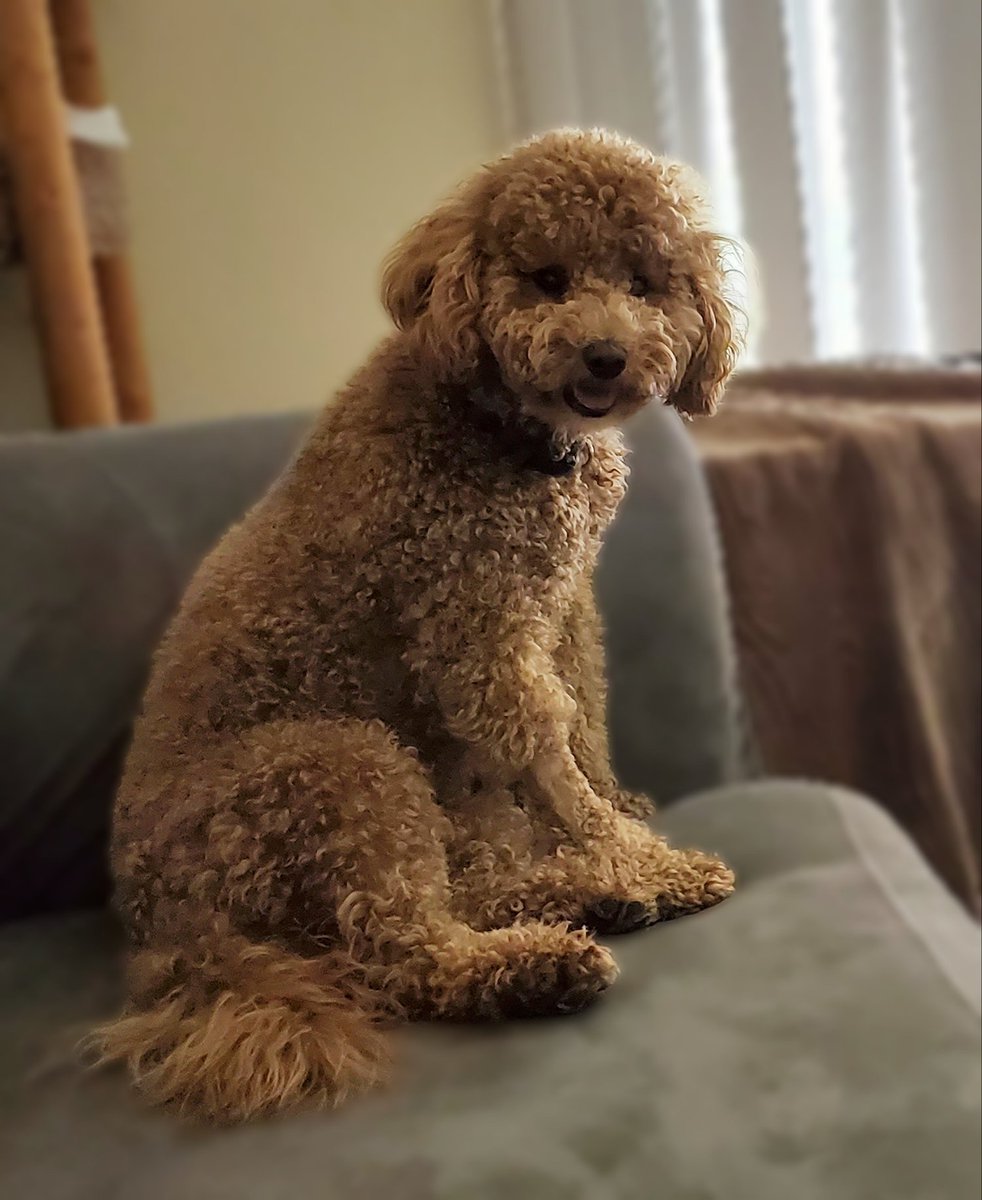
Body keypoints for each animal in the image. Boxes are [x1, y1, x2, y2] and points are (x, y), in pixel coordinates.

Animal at [95, 131, 744, 1123]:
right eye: (548, 279)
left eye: (644, 282)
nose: (605, 356)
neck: (504, 427)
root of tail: (164, 925)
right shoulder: (475, 629)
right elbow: (550, 753)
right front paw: (641, 857)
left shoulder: (562, 607)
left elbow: (584, 719)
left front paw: (620, 821)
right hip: (339, 765)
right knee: (403, 947)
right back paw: (552, 953)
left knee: (451, 891)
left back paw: (587, 898)